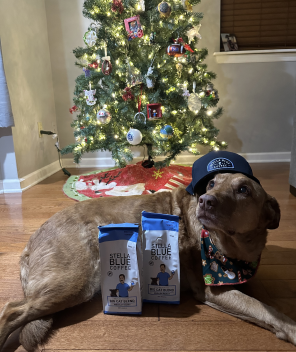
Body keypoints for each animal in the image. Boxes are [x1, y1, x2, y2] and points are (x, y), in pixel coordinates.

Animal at [0, 172, 296, 350]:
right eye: (212, 184)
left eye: (243, 189)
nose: (205, 200)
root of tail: (29, 245)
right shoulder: (212, 290)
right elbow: (263, 308)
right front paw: (291, 328)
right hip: (76, 281)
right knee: (11, 311)